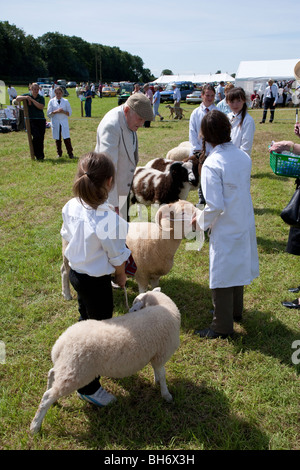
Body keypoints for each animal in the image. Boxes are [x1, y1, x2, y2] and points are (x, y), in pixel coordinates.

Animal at [29, 288, 180, 436]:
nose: (130, 310)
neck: (164, 306)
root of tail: (60, 344)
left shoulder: (156, 354)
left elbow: (156, 370)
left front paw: (157, 382)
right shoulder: (162, 353)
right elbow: (163, 374)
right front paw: (166, 395)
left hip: (67, 365)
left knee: (51, 373)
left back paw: (49, 394)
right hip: (76, 372)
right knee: (48, 396)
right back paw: (35, 426)